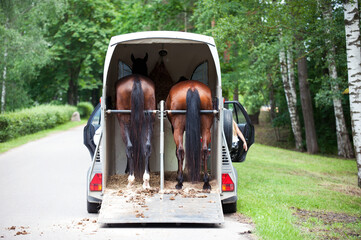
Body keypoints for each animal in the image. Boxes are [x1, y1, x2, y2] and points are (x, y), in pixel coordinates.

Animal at [115, 54, 155, 189]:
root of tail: (136, 79)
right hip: (148, 121)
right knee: (147, 146)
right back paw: (146, 180)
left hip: (123, 124)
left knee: (129, 147)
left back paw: (131, 179)